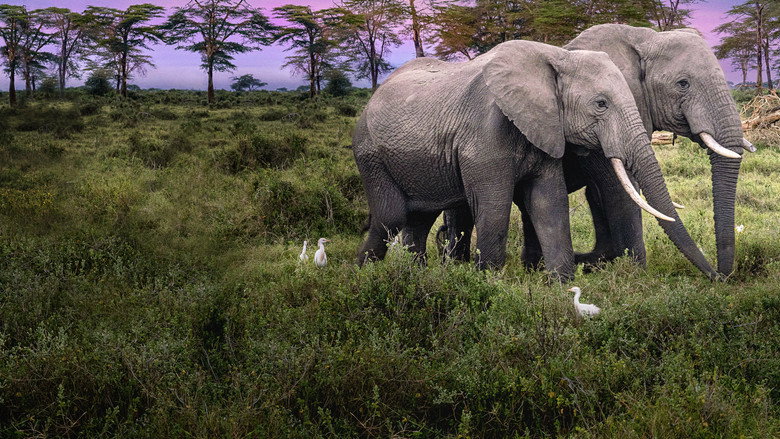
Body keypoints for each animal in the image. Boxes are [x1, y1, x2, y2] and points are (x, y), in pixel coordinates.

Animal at [352, 39, 712, 281]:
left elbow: (547, 203)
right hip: (370, 155)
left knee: (418, 218)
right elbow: (495, 208)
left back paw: (417, 278)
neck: (554, 59)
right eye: (600, 104)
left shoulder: (546, 128)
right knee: (392, 215)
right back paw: (360, 277)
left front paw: (562, 287)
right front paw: (489, 283)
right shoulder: (483, 135)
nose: (717, 277)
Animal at [439, 24, 749, 278]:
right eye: (683, 84)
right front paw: (637, 273)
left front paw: (605, 263)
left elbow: (599, 193)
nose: (720, 276)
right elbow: (619, 190)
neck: (643, 38)